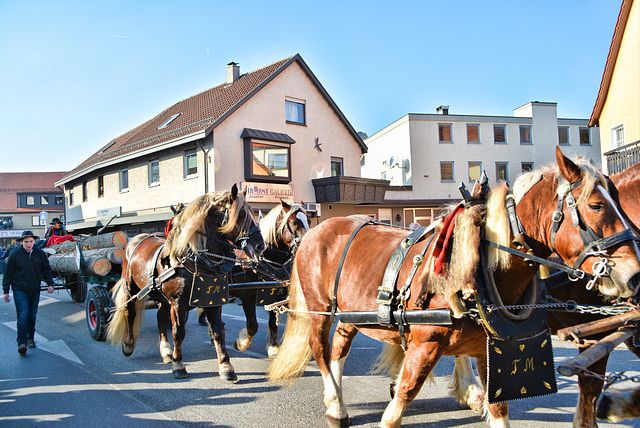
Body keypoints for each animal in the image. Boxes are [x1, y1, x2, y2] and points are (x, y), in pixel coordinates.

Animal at [106, 186, 264, 380]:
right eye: (241, 214)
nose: (260, 245)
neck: (196, 260)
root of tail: (136, 239)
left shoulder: (213, 300)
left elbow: (219, 331)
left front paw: (226, 366)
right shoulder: (178, 303)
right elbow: (178, 333)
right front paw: (179, 365)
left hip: (162, 297)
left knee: (160, 318)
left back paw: (166, 351)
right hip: (131, 288)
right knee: (129, 312)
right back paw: (128, 344)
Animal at [230, 200, 310, 358]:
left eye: (309, 220)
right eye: (294, 222)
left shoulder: (273, 293)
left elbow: (273, 321)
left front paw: (273, 347)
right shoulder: (247, 293)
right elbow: (252, 325)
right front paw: (241, 343)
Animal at [266, 148, 640, 428]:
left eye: (619, 201)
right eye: (595, 205)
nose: (634, 275)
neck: (481, 268)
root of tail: (318, 229)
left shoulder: (491, 351)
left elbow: (500, 407)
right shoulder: (425, 344)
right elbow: (403, 397)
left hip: (349, 311)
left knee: (339, 350)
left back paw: (337, 400)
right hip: (319, 309)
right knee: (320, 349)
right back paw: (336, 406)